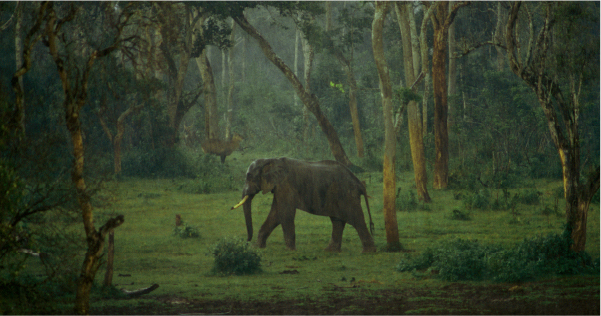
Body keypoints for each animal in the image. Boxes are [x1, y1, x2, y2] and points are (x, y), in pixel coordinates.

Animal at [231, 157, 376, 253]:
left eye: (249, 176)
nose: (246, 242)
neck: (271, 160)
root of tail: (359, 183)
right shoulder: (280, 187)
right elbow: (276, 214)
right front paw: (257, 247)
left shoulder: (286, 185)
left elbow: (285, 213)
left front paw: (290, 250)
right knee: (337, 221)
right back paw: (330, 251)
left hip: (347, 195)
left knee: (356, 219)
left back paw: (368, 252)